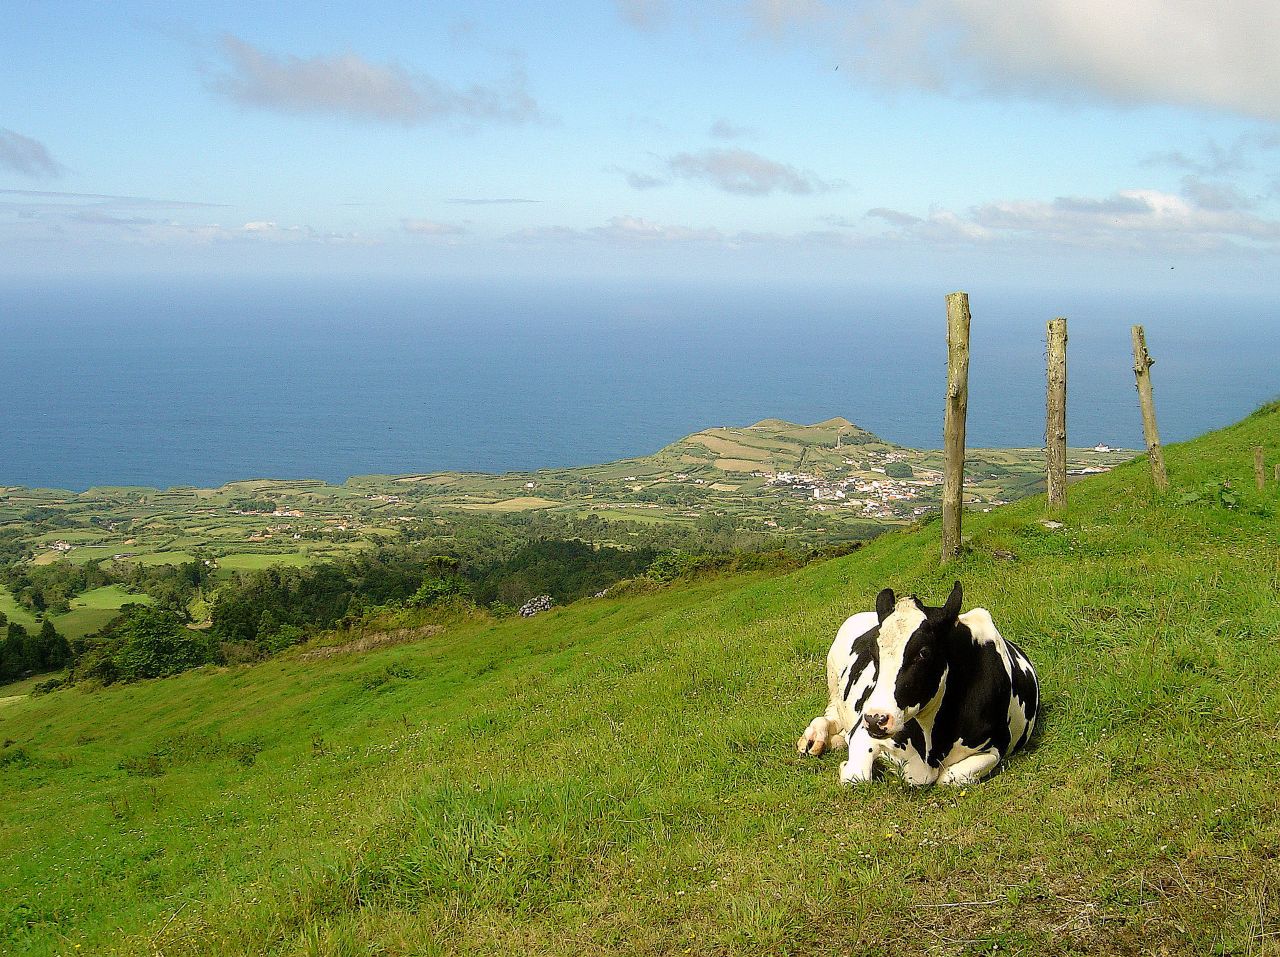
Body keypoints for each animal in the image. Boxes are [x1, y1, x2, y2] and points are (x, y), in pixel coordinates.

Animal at [798, 583, 1039, 783]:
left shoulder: (996, 747)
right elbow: (857, 776)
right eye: (874, 654)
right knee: (830, 714)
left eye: (923, 653)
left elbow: (948, 778)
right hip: (833, 679)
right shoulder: (863, 731)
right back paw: (816, 738)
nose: (876, 719)